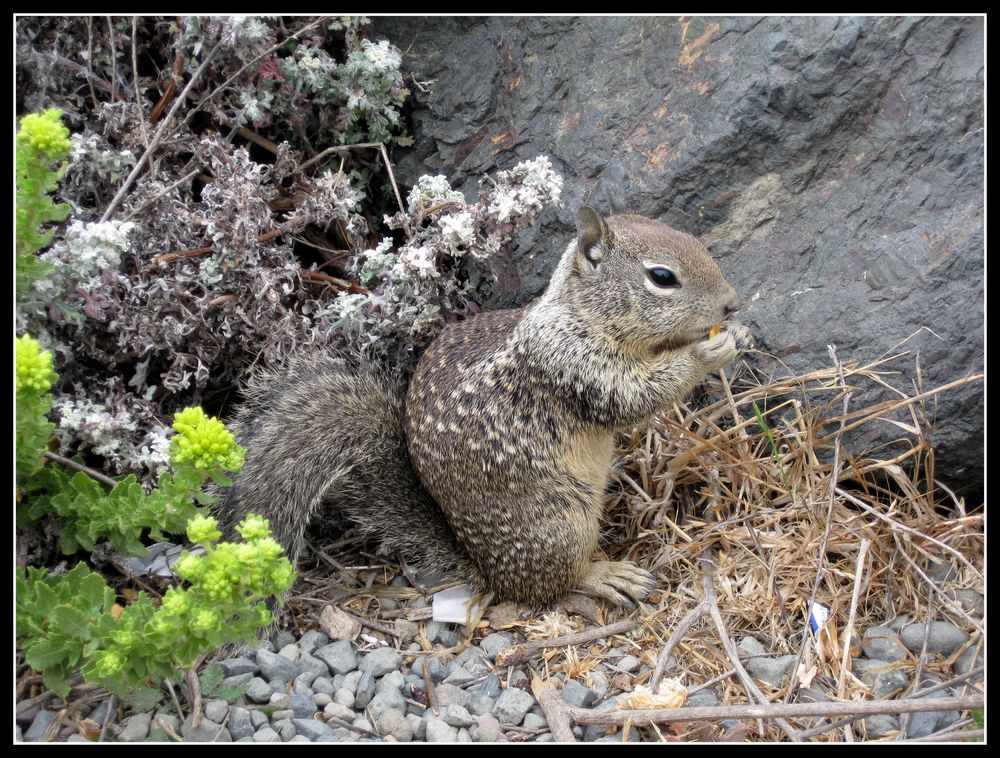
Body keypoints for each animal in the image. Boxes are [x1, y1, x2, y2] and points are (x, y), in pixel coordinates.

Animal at [217, 208, 744, 612]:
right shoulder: (571, 363)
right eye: (662, 277)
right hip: (558, 526)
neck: (578, 314)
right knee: (553, 583)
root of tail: (484, 567)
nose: (732, 305)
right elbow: (631, 398)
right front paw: (709, 351)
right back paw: (606, 575)